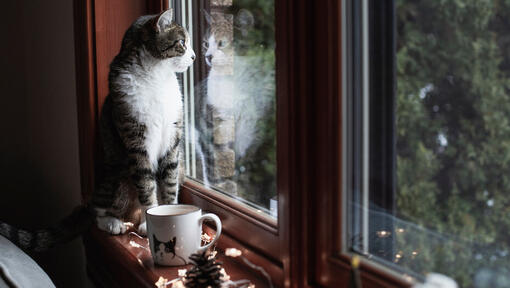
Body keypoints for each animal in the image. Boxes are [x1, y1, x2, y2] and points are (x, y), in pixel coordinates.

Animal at [0, 8, 194, 252]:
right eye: (182, 42)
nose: (194, 56)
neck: (158, 77)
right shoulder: (137, 141)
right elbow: (147, 186)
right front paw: (152, 219)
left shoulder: (172, 139)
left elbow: (168, 184)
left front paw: (170, 214)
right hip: (116, 178)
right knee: (98, 210)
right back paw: (112, 222)